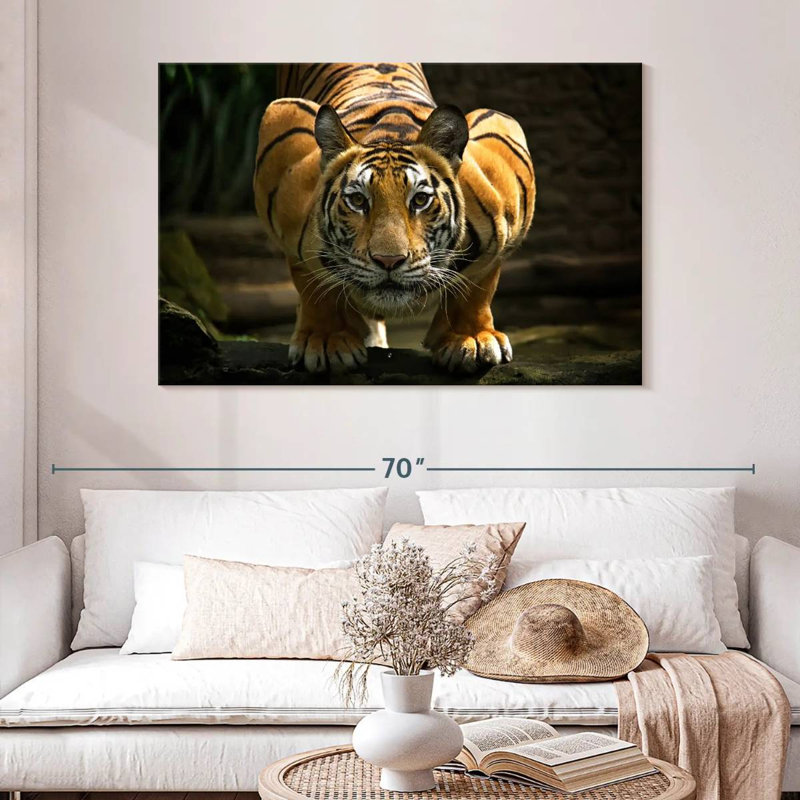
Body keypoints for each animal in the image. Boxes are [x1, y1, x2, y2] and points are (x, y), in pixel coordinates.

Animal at [253, 63, 535, 374]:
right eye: (358, 201)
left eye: (420, 200)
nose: (388, 261)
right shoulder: (283, 132)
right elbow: (314, 282)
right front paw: (326, 340)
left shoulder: (502, 134)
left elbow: (479, 282)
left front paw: (470, 338)